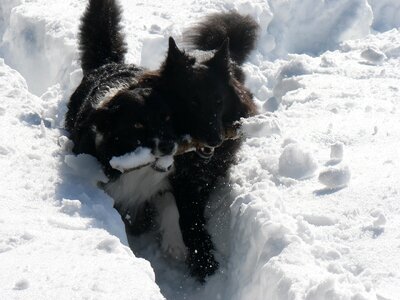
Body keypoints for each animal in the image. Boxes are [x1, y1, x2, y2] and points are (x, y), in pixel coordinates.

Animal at [66, 0, 188, 260]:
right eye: (138, 125)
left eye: (167, 117)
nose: (168, 146)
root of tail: (108, 63)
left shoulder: (160, 183)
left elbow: (171, 206)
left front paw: (175, 244)